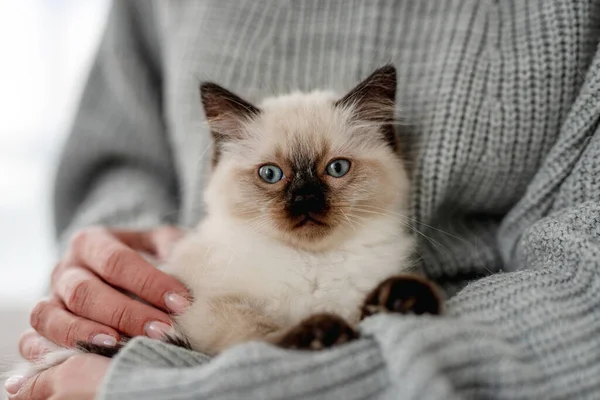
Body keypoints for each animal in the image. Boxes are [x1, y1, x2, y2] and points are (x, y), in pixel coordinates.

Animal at [15, 65, 440, 378]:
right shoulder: (212, 311)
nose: (305, 199)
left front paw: (404, 302)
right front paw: (322, 333)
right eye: (271, 174)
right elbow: (258, 336)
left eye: (336, 169)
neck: (311, 263)